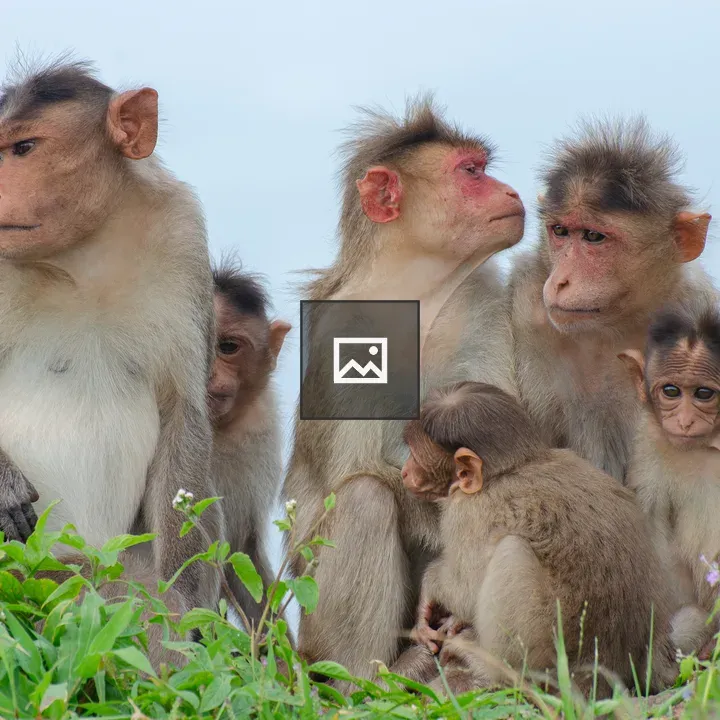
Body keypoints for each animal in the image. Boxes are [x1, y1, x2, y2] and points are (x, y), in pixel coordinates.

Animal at [0, 59, 222, 616]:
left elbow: (183, 407)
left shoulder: (183, 234)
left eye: (24, 148)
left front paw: (183, 603)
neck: (82, 258)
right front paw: (5, 490)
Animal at [283, 95, 525, 685]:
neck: (420, 291)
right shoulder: (345, 331)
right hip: (315, 638)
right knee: (365, 499)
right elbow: (350, 475)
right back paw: (374, 674)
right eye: (472, 172)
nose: (511, 192)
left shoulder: (478, 302)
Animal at [399, 381, 678, 697]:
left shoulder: (467, 513)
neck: (511, 468)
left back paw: (494, 668)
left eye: (415, 454)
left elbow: (466, 589)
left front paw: (432, 590)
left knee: (511, 552)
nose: (404, 471)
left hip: (547, 652)